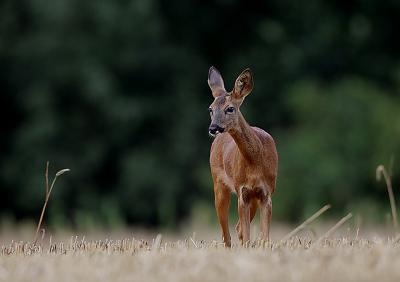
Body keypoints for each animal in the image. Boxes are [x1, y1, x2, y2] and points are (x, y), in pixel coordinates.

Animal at [208, 66, 276, 247]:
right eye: (210, 109)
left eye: (230, 108)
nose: (213, 128)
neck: (255, 163)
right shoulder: (242, 191)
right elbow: (246, 236)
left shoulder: (266, 192)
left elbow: (264, 238)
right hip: (218, 183)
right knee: (226, 234)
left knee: (237, 228)